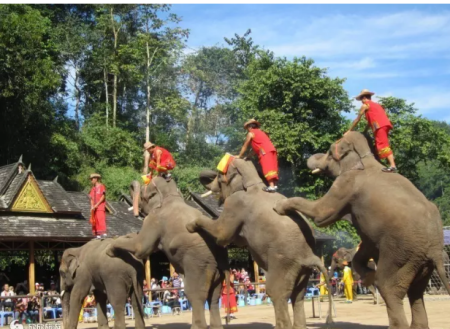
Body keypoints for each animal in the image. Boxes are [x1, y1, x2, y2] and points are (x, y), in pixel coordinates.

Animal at [107, 177, 230, 328]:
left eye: (143, 194)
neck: (171, 196)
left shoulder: (154, 219)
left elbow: (142, 248)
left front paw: (110, 250)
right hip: (217, 270)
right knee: (214, 296)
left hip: (199, 265)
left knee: (195, 294)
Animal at [184, 158, 334, 326]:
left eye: (220, 176)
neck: (253, 180)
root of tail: (310, 256)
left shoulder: (236, 203)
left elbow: (222, 234)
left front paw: (190, 226)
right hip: (302, 269)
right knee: (298, 295)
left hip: (283, 263)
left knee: (277, 293)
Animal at [274, 131, 450, 328]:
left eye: (329, 153)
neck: (366, 157)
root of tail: (435, 247)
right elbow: (365, 249)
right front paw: (368, 276)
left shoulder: (345, 183)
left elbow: (321, 215)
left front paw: (279, 207)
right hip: (420, 260)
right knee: (416, 291)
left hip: (403, 251)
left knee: (390, 287)